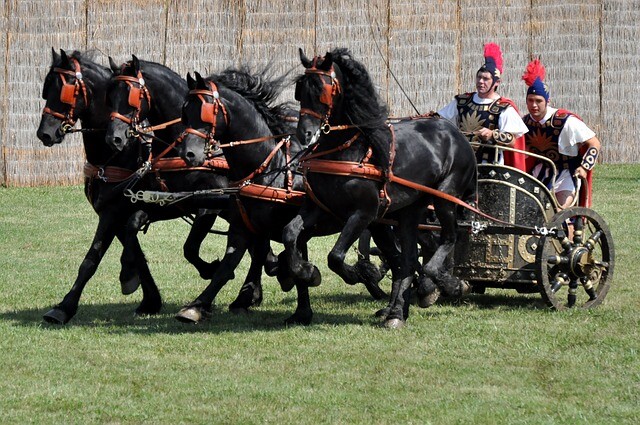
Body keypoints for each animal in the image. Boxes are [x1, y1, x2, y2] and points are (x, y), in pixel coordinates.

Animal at [36, 49, 224, 322]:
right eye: (46, 89)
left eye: (65, 89)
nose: (45, 133)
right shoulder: (115, 209)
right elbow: (124, 246)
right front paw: (147, 295)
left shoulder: (200, 203)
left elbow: (97, 255)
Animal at [174, 68, 384, 322]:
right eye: (185, 112)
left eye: (205, 112)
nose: (188, 154)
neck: (269, 168)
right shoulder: (241, 228)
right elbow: (226, 267)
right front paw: (197, 305)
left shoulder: (300, 228)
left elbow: (294, 261)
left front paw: (304, 289)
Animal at [282, 48, 478, 328]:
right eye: (301, 90)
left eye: (322, 89)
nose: (305, 134)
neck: (346, 150)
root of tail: (456, 133)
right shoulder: (318, 207)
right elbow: (290, 233)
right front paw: (307, 272)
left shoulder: (364, 213)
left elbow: (335, 256)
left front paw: (358, 274)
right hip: (409, 212)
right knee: (407, 260)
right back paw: (396, 313)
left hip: (445, 199)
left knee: (446, 240)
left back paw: (444, 284)